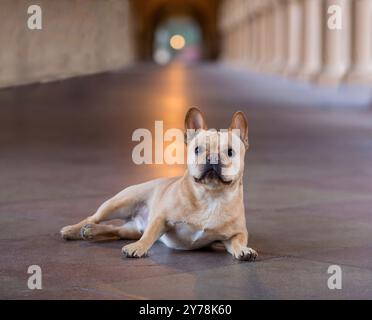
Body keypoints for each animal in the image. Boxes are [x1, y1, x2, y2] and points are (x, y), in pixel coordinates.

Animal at [61, 107, 258, 260]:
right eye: (197, 150)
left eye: (230, 152)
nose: (213, 157)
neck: (211, 195)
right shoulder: (161, 218)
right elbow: (149, 236)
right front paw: (138, 247)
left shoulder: (236, 233)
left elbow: (238, 241)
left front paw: (244, 250)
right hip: (119, 203)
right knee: (94, 217)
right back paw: (72, 230)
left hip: (130, 228)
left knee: (116, 230)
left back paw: (91, 231)